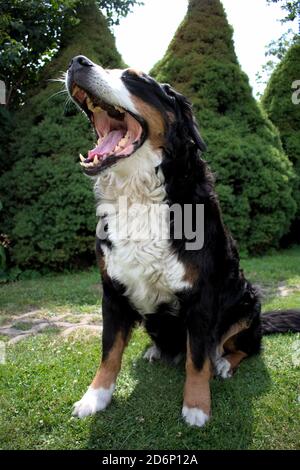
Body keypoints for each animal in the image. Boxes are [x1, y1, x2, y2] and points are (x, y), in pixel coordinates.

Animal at [65, 56, 300, 430]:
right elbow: (109, 352)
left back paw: (224, 363)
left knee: (241, 347)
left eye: (134, 79)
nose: (78, 61)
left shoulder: (201, 296)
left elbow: (198, 358)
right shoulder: (112, 292)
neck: (138, 196)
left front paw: (196, 407)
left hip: (247, 302)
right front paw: (95, 397)